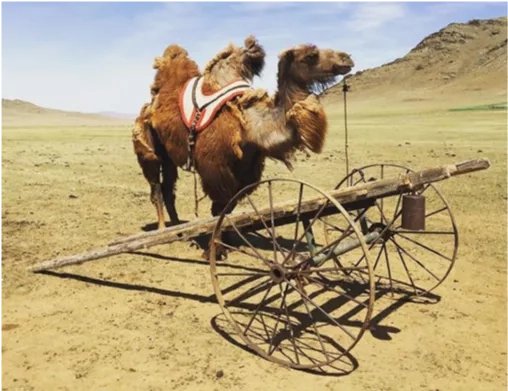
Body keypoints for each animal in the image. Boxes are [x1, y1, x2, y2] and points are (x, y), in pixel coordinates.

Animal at [134, 40, 354, 260]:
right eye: (310, 56)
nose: (347, 58)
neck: (251, 127)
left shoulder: (245, 170)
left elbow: (228, 208)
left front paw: (230, 242)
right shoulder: (214, 169)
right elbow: (218, 209)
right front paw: (214, 251)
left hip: (169, 155)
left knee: (168, 189)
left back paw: (179, 230)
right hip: (148, 148)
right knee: (156, 187)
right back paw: (162, 230)